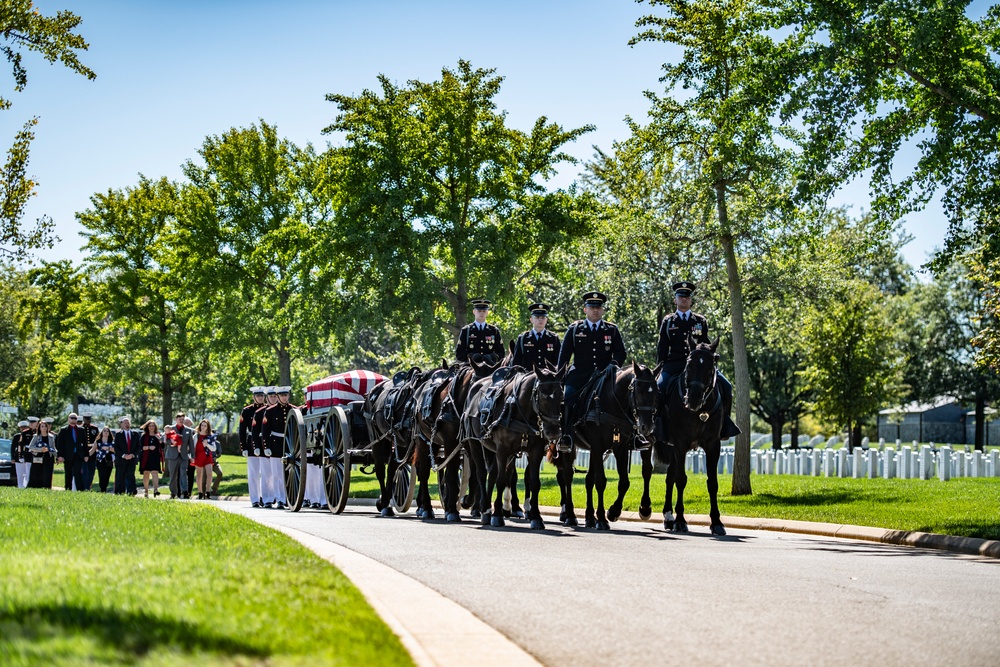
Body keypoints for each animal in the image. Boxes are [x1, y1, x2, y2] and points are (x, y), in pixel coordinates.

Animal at [466, 362, 568, 528]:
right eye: (543, 396)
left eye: (561, 395)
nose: (553, 431)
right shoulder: (503, 450)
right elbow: (501, 480)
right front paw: (497, 515)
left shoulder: (535, 452)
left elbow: (534, 482)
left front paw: (536, 517)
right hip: (475, 443)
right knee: (481, 474)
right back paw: (485, 510)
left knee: (492, 474)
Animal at [656, 340, 728, 536]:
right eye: (689, 365)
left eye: (711, 367)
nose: (693, 399)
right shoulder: (680, 444)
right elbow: (681, 480)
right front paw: (681, 520)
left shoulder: (713, 445)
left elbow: (713, 483)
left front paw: (716, 522)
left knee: (669, 476)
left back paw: (668, 517)